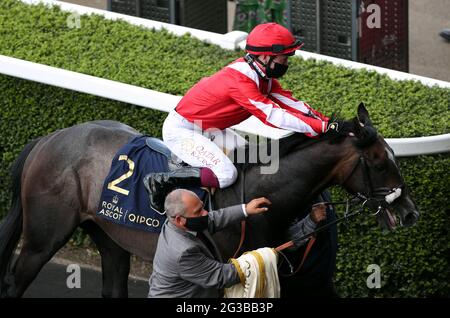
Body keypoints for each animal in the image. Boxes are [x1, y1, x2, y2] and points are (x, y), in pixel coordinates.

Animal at [0, 103, 418, 296]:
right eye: (379, 162)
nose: (409, 212)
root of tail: (49, 139)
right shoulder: (218, 274)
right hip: (42, 238)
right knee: (15, 280)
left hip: (111, 236)